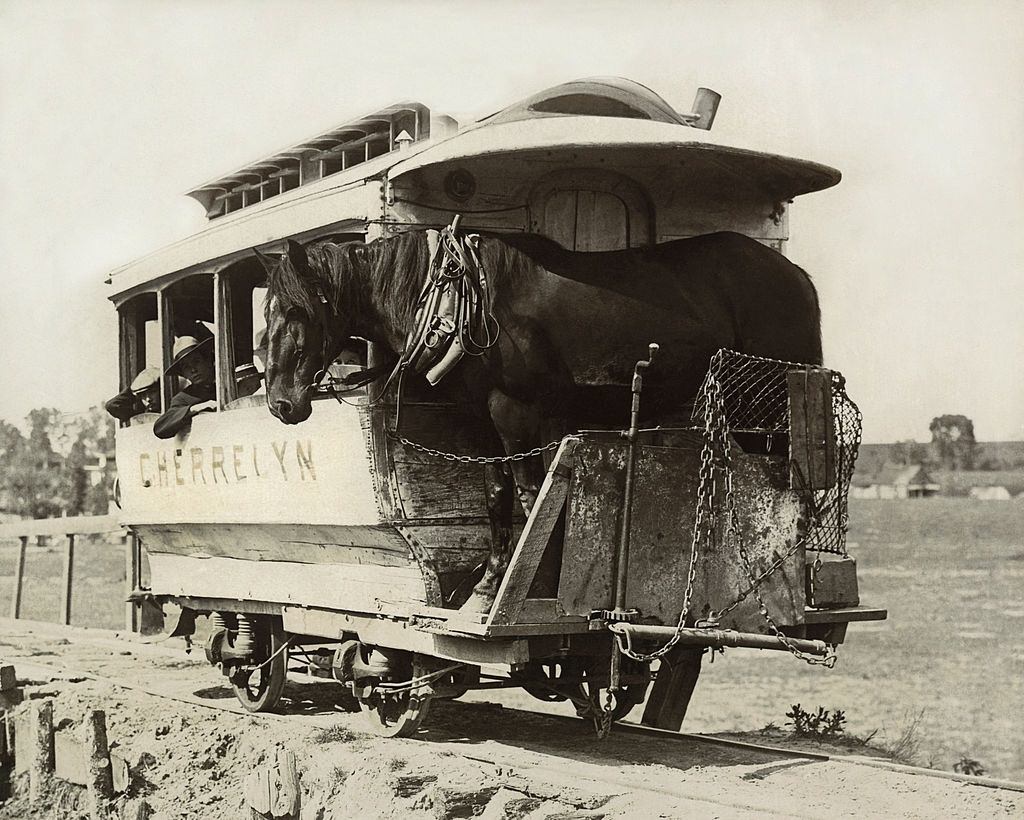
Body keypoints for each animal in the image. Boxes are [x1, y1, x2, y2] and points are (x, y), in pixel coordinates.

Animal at [258, 228, 823, 606]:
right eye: (266, 313)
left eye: (298, 311)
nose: (281, 402)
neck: (465, 303)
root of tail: (798, 277)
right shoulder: (481, 424)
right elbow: (497, 495)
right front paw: (489, 583)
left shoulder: (518, 414)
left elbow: (532, 496)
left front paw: (533, 583)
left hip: (770, 407)